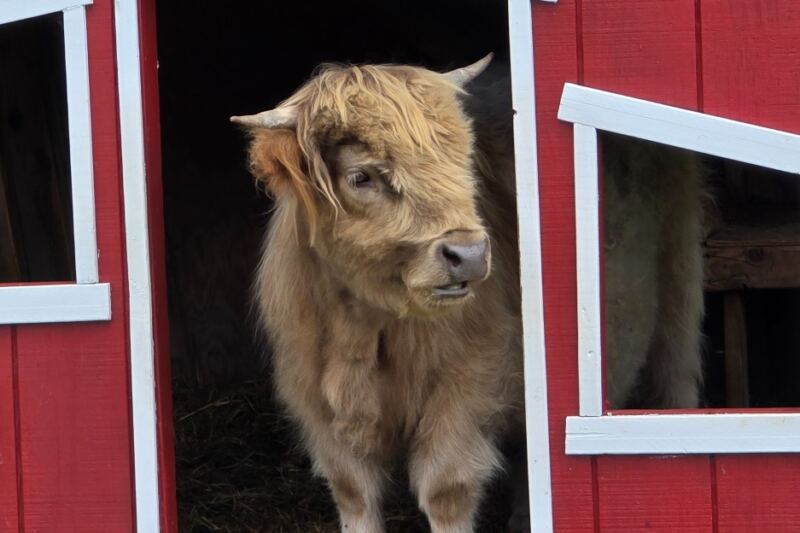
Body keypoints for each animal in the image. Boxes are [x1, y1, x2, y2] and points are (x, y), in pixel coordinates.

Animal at [231, 54, 704, 532]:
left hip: (681, 263)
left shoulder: (468, 383)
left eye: (462, 160)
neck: (365, 326)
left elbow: (445, 490)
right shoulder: (317, 404)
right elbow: (354, 494)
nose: (470, 254)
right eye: (361, 176)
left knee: (678, 366)